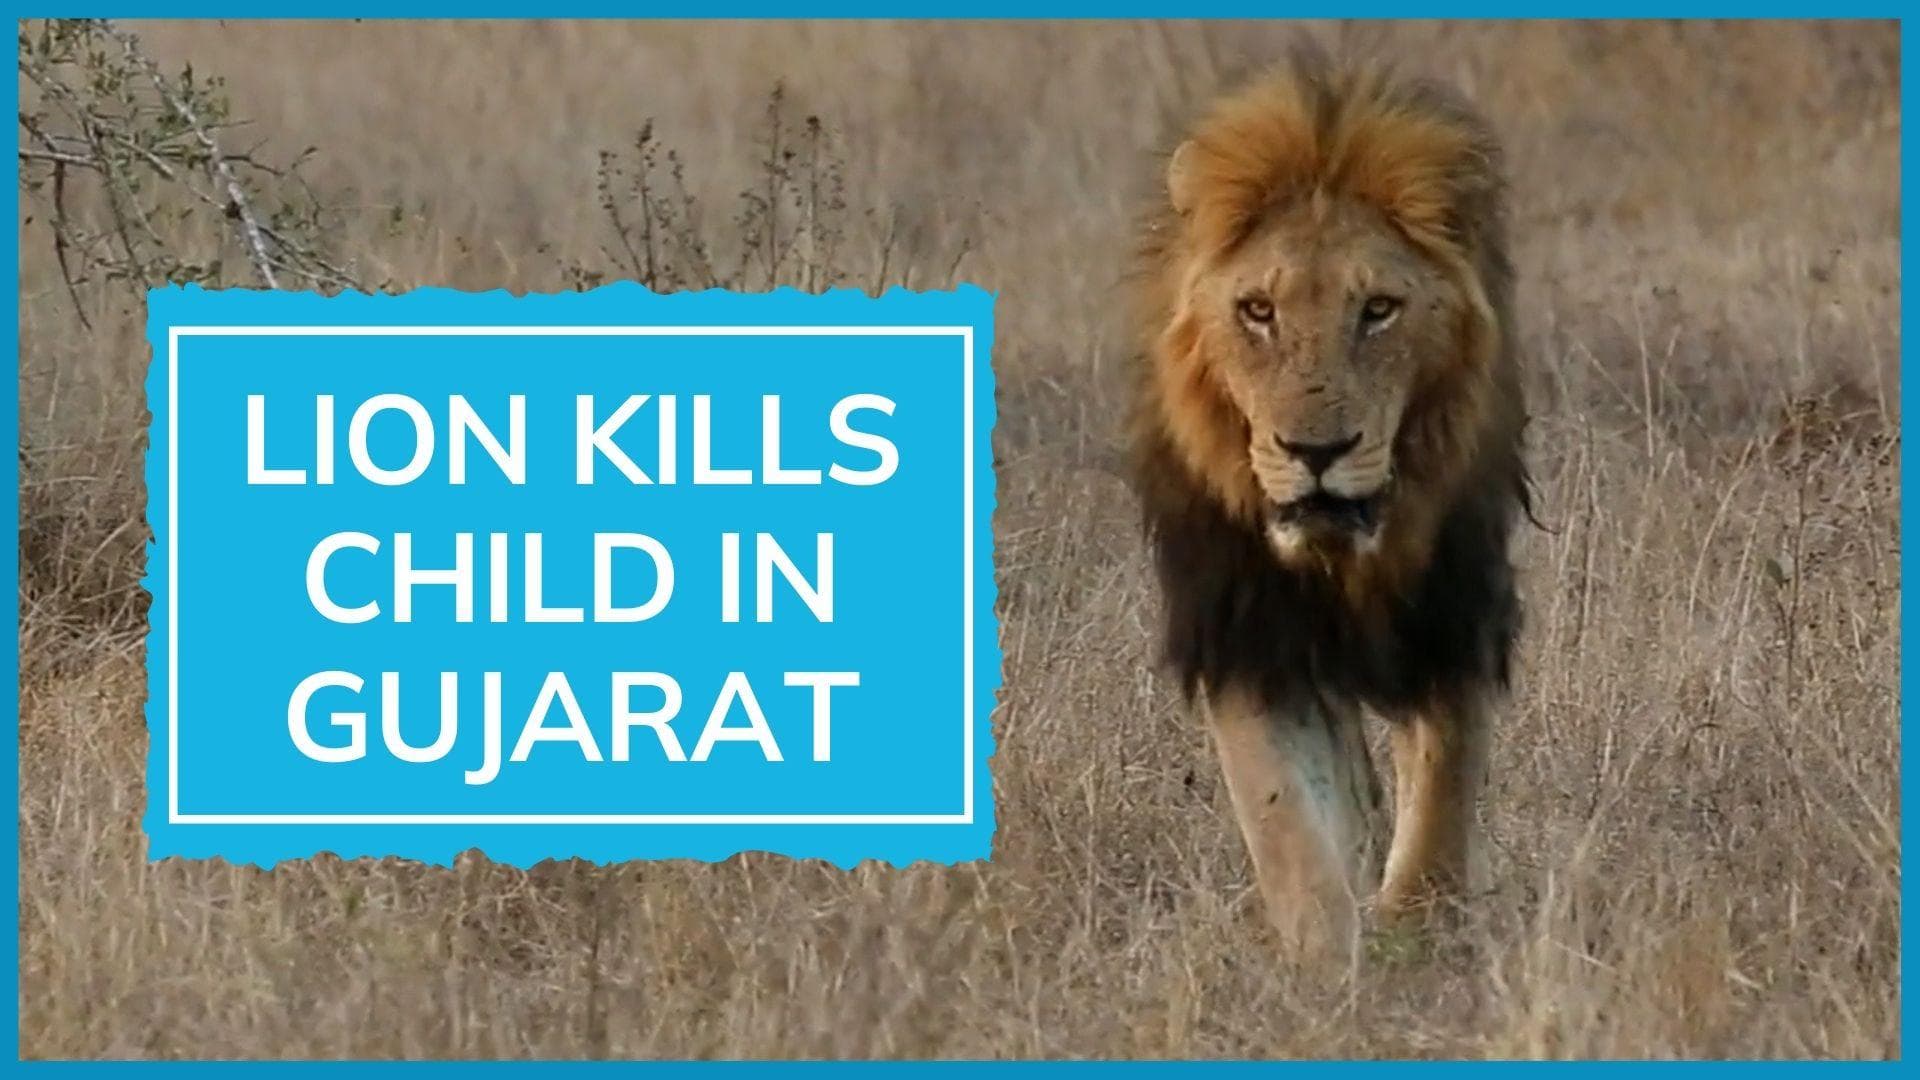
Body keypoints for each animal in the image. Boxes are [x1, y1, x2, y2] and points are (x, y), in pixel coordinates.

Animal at [1128, 48, 1530, 957]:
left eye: (1377, 309)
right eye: (1258, 311)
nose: (1316, 453)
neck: (1341, 562)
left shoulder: (1449, 619)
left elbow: (1440, 811)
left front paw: (1420, 941)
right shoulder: (1248, 636)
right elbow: (1290, 833)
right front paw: (1328, 962)